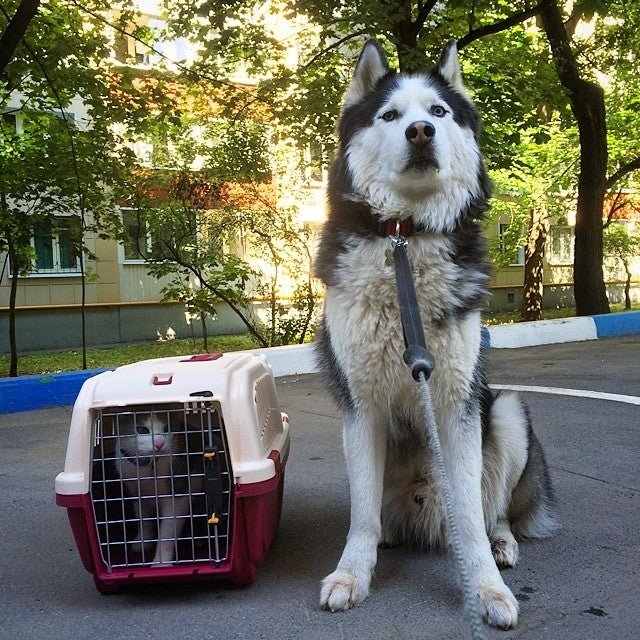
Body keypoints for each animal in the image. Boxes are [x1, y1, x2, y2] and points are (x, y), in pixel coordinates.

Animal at [114, 411, 190, 566]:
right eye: (142, 430)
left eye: (167, 428)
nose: (159, 444)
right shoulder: (135, 492)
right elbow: (144, 519)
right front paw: (143, 541)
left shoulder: (178, 494)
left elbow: (167, 532)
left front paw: (162, 563)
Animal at [313, 39, 559, 630]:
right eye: (390, 116)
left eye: (439, 112)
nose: (421, 131)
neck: (404, 236)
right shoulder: (362, 407)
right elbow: (361, 517)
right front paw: (352, 574)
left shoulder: (455, 402)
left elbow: (470, 514)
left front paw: (486, 588)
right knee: (384, 516)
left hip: (506, 413)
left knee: (494, 509)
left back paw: (502, 543)